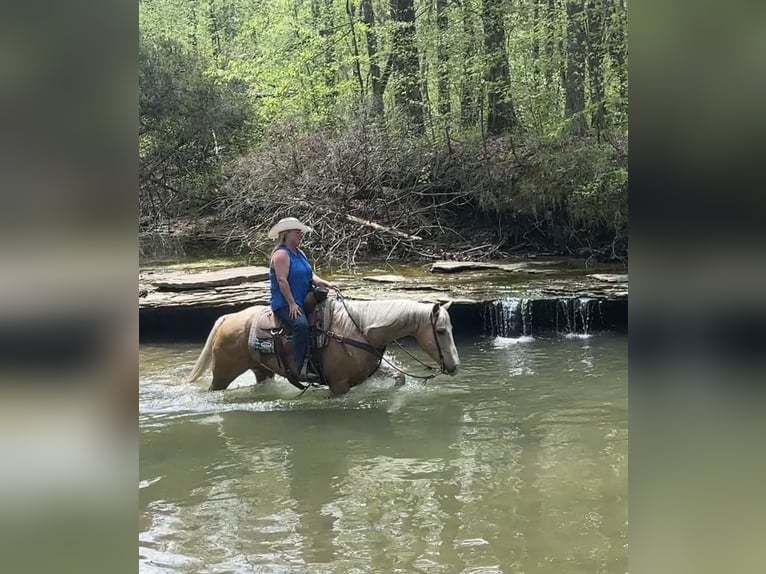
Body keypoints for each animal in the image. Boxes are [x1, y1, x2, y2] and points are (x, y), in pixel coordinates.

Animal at [185, 298, 460, 396]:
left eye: (452, 329)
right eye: (440, 331)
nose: (455, 366)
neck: (359, 330)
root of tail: (227, 318)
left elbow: (399, 377)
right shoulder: (338, 384)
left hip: (262, 370)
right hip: (223, 374)